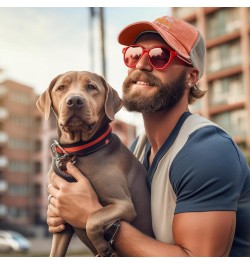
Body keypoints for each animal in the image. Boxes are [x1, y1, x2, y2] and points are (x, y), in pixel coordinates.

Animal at [36, 70, 153, 256]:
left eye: (91, 87)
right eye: (61, 87)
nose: (74, 101)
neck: (79, 153)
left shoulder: (123, 205)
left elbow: (93, 218)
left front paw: (103, 248)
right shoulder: (61, 223)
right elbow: (55, 253)